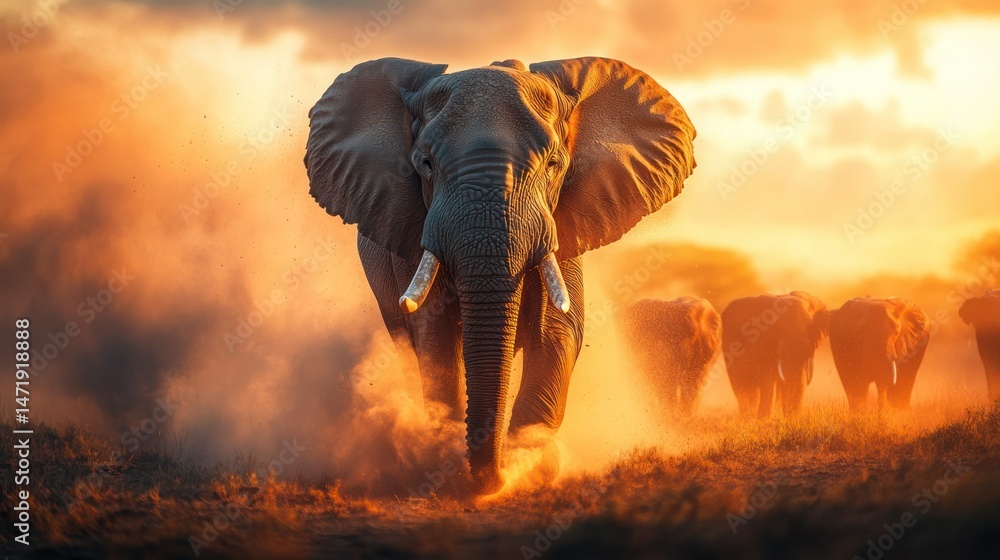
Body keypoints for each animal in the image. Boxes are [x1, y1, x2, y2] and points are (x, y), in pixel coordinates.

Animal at [304, 57, 696, 494]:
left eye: (554, 164)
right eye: (425, 164)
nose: (491, 477)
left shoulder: (562, 224)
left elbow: (557, 332)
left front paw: (527, 464)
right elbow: (435, 337)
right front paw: (451, 463)